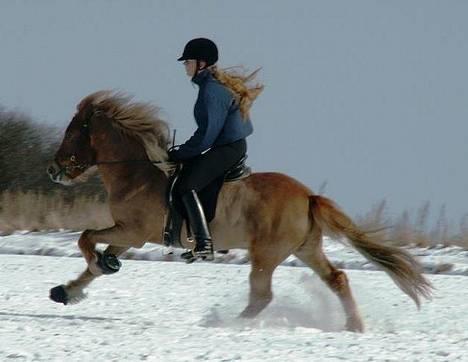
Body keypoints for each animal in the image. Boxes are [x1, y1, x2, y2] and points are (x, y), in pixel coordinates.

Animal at [47, 90, 432, 330]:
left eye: (74, 132)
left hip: (266, 254)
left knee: (262, 295)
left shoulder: (134, 232)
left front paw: (95, 267)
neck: (138, 172)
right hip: (305, 249)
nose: (53, 171)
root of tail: (308, 195)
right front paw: (69, 290)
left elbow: (85, 239)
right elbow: (94, 259)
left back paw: (227, 323)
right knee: (337, 279)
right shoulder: (126, 234)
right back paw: (354, 326)